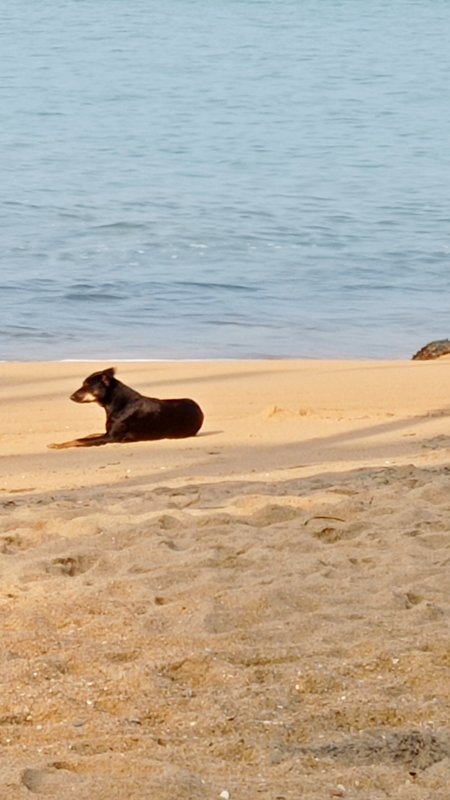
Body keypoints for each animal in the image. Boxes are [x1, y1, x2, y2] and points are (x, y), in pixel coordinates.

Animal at [48, 368, 204, 450]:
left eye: (88, 385)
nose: (71, 397)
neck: (117, 403)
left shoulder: (110, 437)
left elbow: (79, 440)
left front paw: (58, 444)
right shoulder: (107, 433)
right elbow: (89, 435)